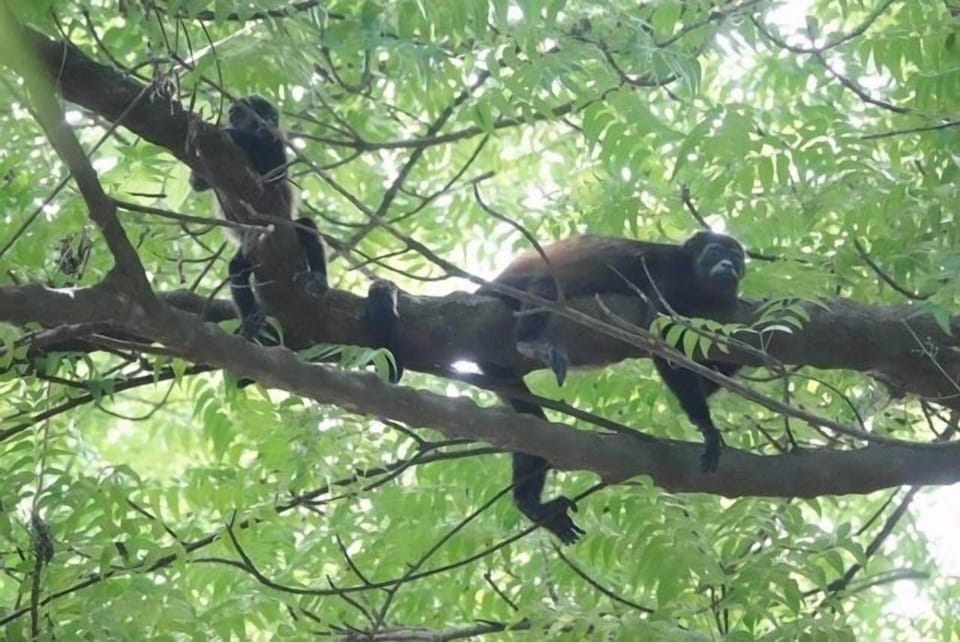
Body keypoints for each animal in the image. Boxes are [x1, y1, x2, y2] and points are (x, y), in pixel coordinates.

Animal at [190, 95, 328, 339]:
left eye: (273, 117)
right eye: (262, 115)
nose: (270, 124)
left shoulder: (278, 142)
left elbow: (277, 170)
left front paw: (237, 134)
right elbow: (197, 183)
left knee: (306, 226)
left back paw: (319, 279)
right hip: (249, 250)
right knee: (236, 269)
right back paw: (252, 319)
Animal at [477, 231, 746, 544]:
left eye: (736, 259)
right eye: (714, 252)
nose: (728, 266)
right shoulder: (669, 276)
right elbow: (659, 339)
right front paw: (707, 428)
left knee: (530, 428)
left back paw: (531, 505)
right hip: (508, 292)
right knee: (545, 285)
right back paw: (531, 343)